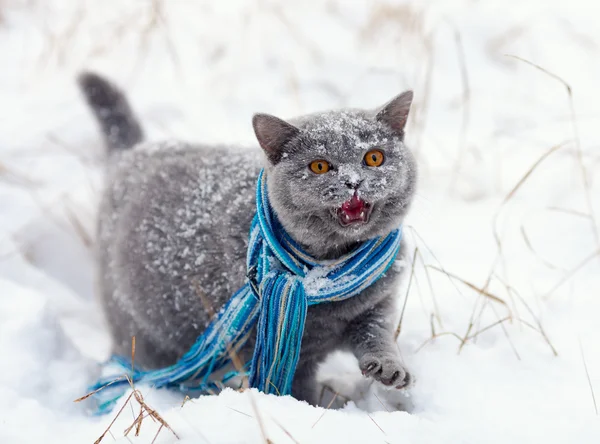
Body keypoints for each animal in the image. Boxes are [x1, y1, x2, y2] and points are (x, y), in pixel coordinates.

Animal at [78, 70, 418, 406]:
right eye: (319, 166)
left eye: (374, 158)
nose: (353, 181)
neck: (334, 269)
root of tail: (132, 154)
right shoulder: (290, 346)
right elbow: (296, 387)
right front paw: (307, 409)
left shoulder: (376, 304)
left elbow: (377, 335)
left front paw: (390, 368)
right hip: (138, 329)